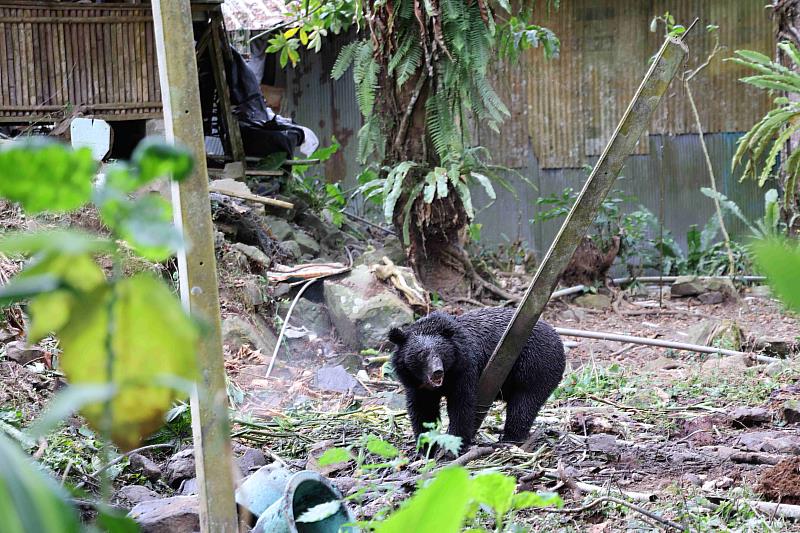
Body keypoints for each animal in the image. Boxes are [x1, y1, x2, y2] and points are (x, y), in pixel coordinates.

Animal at [388, 307, 565, 452]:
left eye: (441, 353)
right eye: (421, 354)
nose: (437, 372)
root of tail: (558, 339)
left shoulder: (465, 370)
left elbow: (462, 404)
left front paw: (455, 444)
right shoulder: (414, 383)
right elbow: (423, 410)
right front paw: (426, 447)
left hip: (534, 367)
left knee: (523, 404)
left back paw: (510, 438)